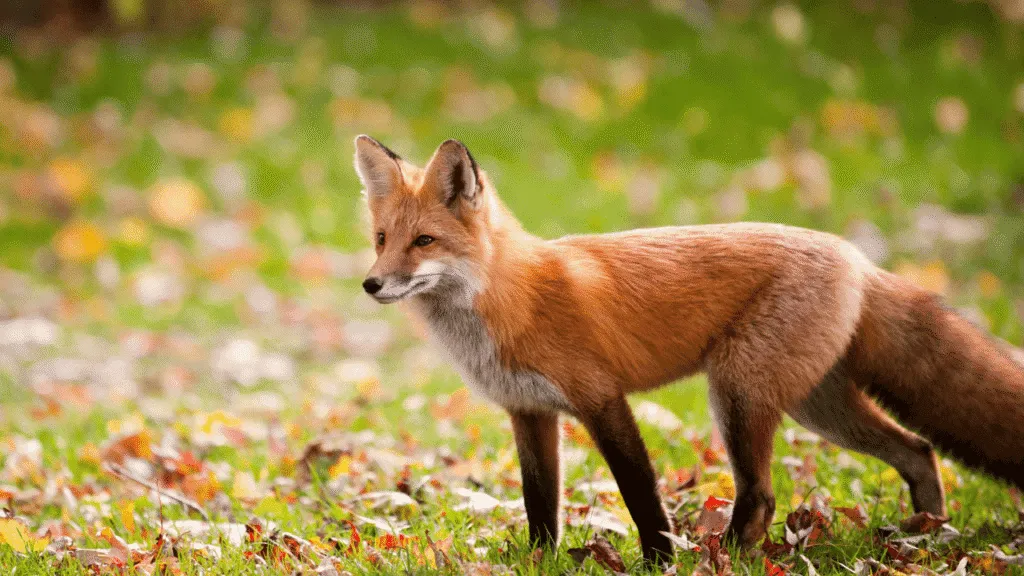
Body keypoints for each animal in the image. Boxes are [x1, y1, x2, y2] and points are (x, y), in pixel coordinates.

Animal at [352, 134, 1024, 563]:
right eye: (382, 239)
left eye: (424, 241)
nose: (371, 284)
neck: (509, 298)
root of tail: (855, 255)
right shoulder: (530, 412)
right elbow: (540, 502)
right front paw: (541, 561)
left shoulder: (601, 400)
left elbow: (640, 493)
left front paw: (658, 559)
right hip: (817, 406)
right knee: (918, 450)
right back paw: (926, 533)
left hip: (738, 392)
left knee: (763, 495)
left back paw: (724, 555)